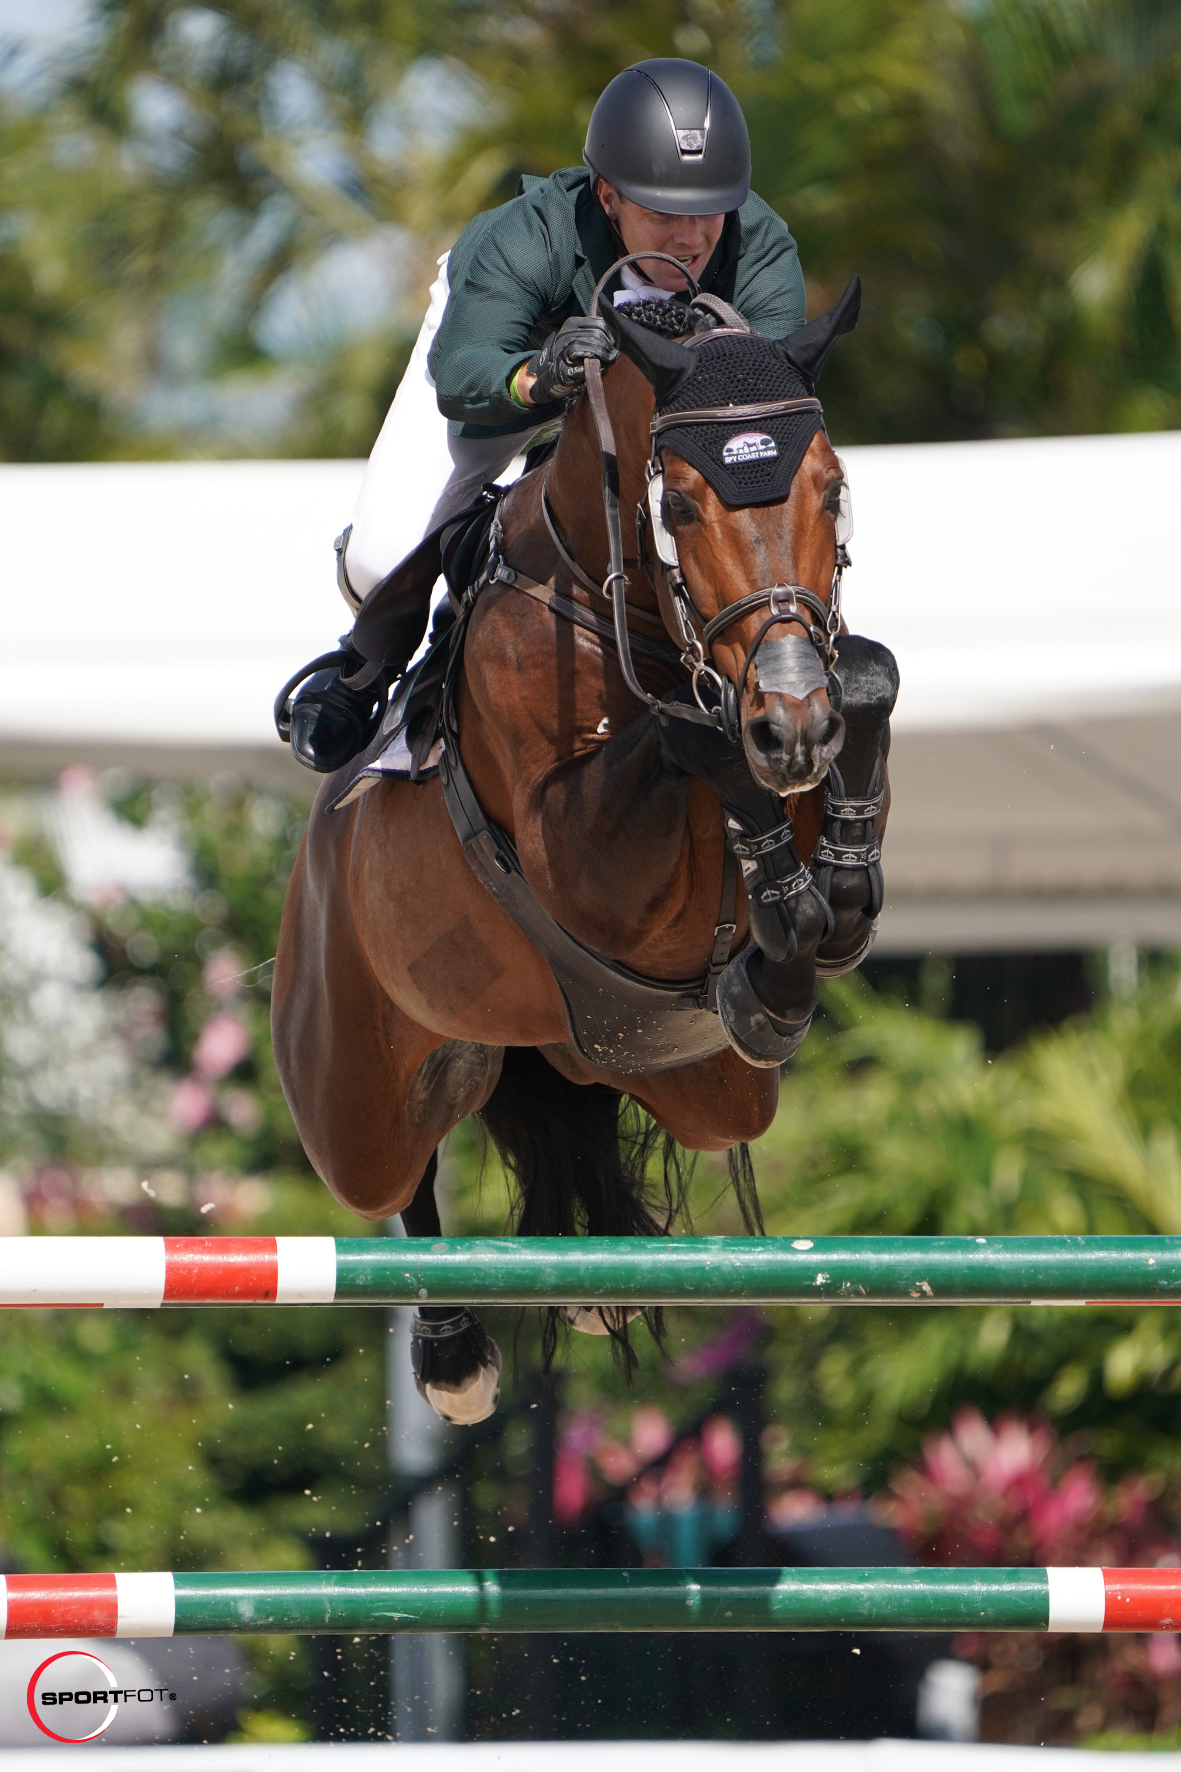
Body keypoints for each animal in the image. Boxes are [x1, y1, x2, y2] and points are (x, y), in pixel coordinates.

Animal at [269, 262, 893, 1417]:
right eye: (679, 502)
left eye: (832, 489)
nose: (791, 720)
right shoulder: (581, 856)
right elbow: (689, 733)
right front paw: (781, 932)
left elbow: (866, 677)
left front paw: (822, 904)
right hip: (351, 1096)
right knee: (397, 1177)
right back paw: (453, 1352)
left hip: (706, 1088)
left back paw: (598, 1270)